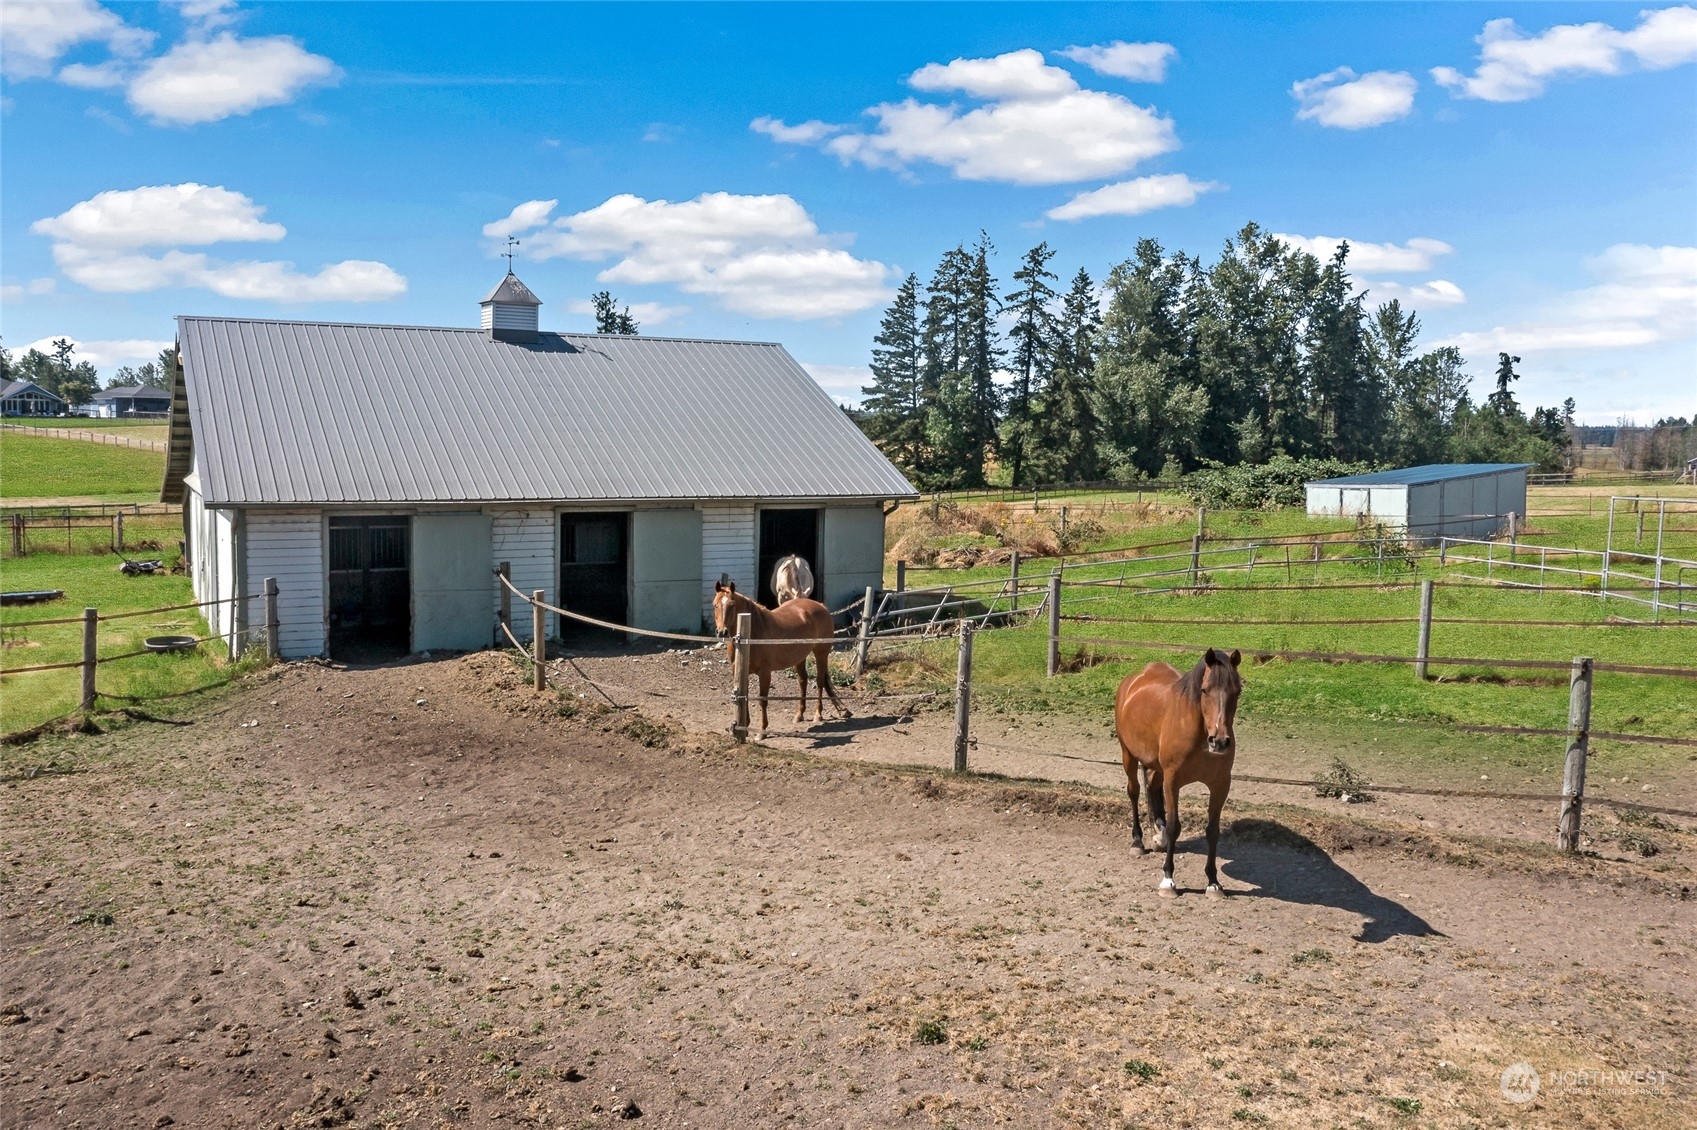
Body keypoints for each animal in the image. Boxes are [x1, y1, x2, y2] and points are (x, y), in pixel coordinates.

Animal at [712, 576, 848, 736]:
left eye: (732, 605)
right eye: (715, 605)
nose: (722, 632)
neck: (749, 635)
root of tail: (821, 606)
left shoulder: (764, 672)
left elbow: (762, 700)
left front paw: (762, 731)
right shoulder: (738, 671)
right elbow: (744, 696)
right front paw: (745, 726)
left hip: (821, 653)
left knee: (820, 681)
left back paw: (817, 714)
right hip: (800, 657)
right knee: (803, 680)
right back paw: (799, 715)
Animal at [1113, 641, 1248, 895]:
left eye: (1237, 691)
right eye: (1204, 690)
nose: (1220, 741)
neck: (1200, 735)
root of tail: (1134, 680)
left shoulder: (1220, 784)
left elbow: (1212, 831)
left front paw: (1213, 882)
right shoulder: (1173, 780)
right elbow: (1175, 826)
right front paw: (1168, 879)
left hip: (1156, 766)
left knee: (1152, 788)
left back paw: (1159, 836)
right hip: (1128, 754)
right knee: (1134, 791)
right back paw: (1138, 841)